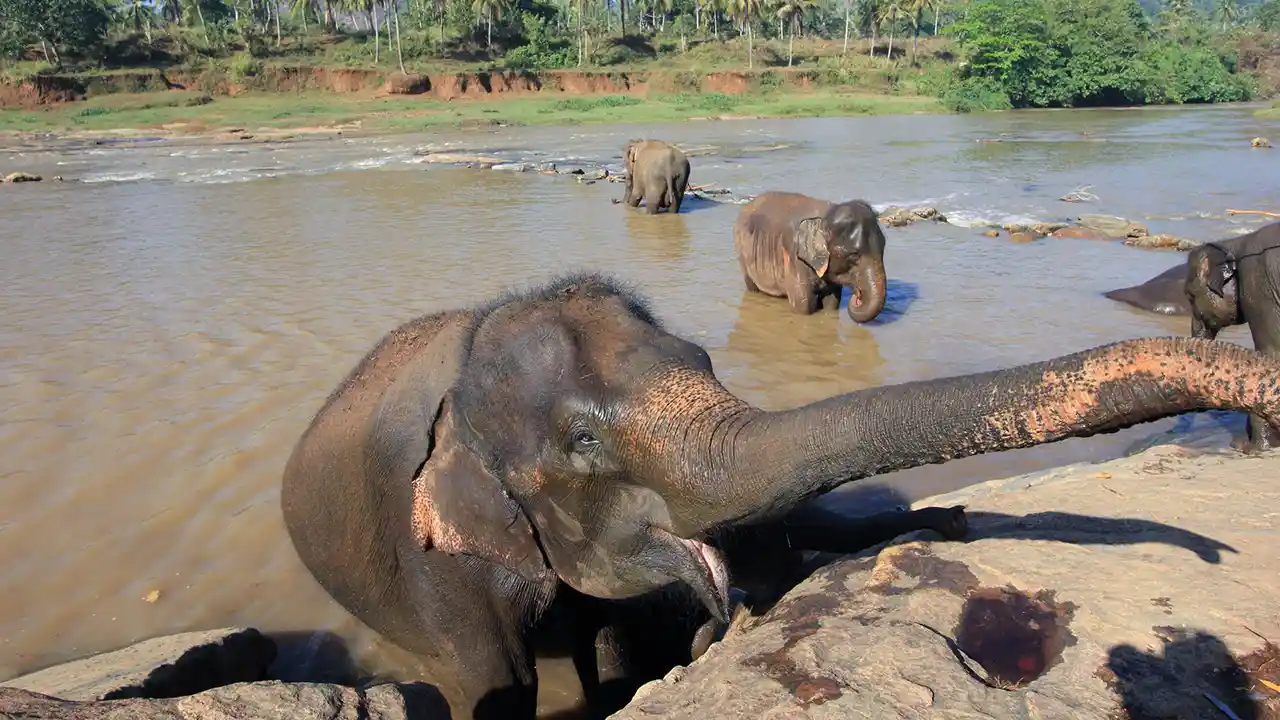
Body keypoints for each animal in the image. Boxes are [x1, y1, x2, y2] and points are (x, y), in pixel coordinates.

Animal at [734, 191, 887, 323]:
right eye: (854, 255)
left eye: (883, 247)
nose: (857, 296)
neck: (826, 215)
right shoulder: (794, 258)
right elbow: (804, 304)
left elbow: (832, 302)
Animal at [1185, 221, 1280, 454]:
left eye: (1189, 296)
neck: (1234, 243)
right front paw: (1241, 444)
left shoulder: (1259, 288)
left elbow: (1270, 353)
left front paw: (1255, 449)